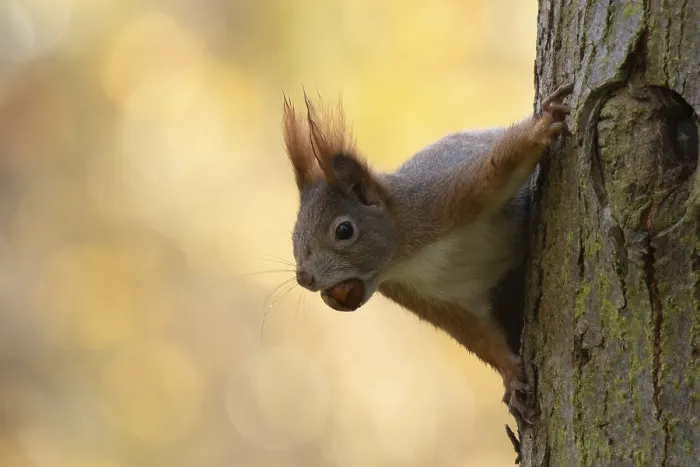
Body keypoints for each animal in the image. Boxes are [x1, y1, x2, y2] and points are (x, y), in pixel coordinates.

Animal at [282, 82, 574, 460]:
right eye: (293, 237)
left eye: (344, 231)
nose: (304, 278)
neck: (405, 257)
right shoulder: (431, 300)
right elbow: (477, 336)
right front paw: (512, 378)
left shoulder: (444, 198)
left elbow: (498, 166)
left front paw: (540, 128)